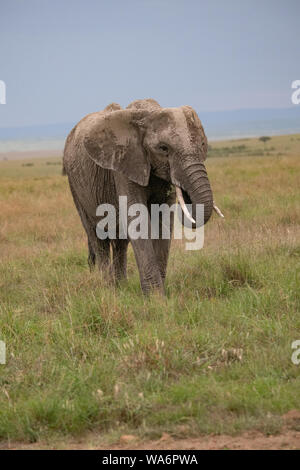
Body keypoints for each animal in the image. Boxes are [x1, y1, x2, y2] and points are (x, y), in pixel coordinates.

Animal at [62, 98, 213, 294]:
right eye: (163, 148)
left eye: (202, 145)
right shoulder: (124, 165)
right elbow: (138, 218)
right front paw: (156, 297)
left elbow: (163, 220)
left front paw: (158, 294)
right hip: (75, 184)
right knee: (98, 237)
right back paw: (107, 288)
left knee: (120, 240)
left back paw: (121, 285)